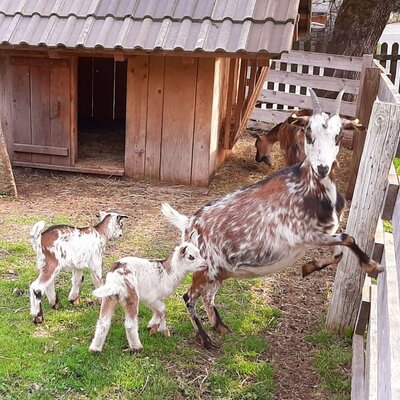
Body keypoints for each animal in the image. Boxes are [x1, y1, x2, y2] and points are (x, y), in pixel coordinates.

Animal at [162, 87, 382, 346]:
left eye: (339, 136)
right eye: (309, 133)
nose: (322, 168)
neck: (310, 189)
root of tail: (189, 224)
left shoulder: (327, 232)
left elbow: (339, 252)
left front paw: (309, 267)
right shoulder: (307, 235)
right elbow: (349, 238)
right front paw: (372, 265)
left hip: (219, 271)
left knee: (208, 295)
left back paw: (220, 326)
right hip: (204, 267)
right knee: (189, 297)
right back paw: (206, 339)